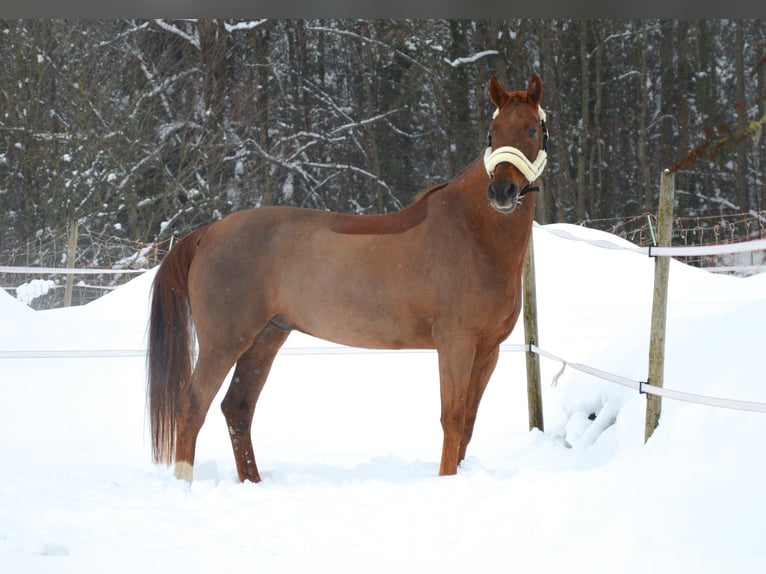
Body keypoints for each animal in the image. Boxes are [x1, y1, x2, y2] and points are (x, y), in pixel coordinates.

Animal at [147, 74, 549, 483]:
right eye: (492, 133)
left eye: (532, 129)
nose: (501, 192)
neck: (473, 232)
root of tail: (209, 231)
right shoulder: (456, 344)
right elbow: (451, 420)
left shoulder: (488, 350)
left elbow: (467, 422)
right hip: (224, 342)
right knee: (192, 406)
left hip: (265, 338)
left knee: (237, 408)